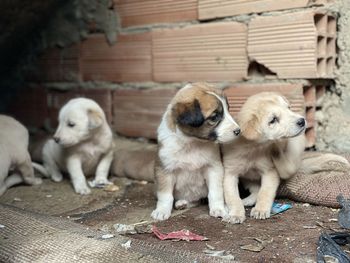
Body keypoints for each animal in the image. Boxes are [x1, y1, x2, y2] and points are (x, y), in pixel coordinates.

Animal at [150, 82, 241, 221]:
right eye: (214, 116)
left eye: (228, 110)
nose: (238, 131)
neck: (192, 143)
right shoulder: (165, 170)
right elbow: (165, 195)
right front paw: (162, 210)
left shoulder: (214, 168)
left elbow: (215, 192)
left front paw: (218, 208)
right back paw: (182, 202)